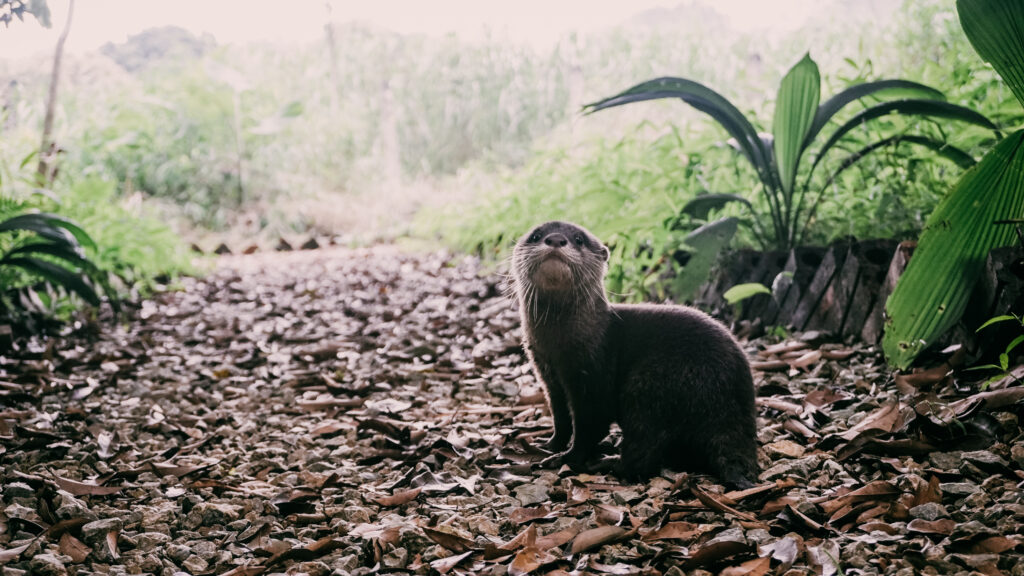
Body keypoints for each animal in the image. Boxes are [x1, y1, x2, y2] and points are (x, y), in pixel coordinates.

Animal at [512, 219, 761, 483]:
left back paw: (607, 462)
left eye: (579, 239)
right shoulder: (548, 375)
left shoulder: (592, 374)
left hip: (651, 384)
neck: (561, 347)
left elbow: (591, 425)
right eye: (536, 235)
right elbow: (560, 418)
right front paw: (549, 444)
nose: (556, 239)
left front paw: (566, 457)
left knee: (644, 453)